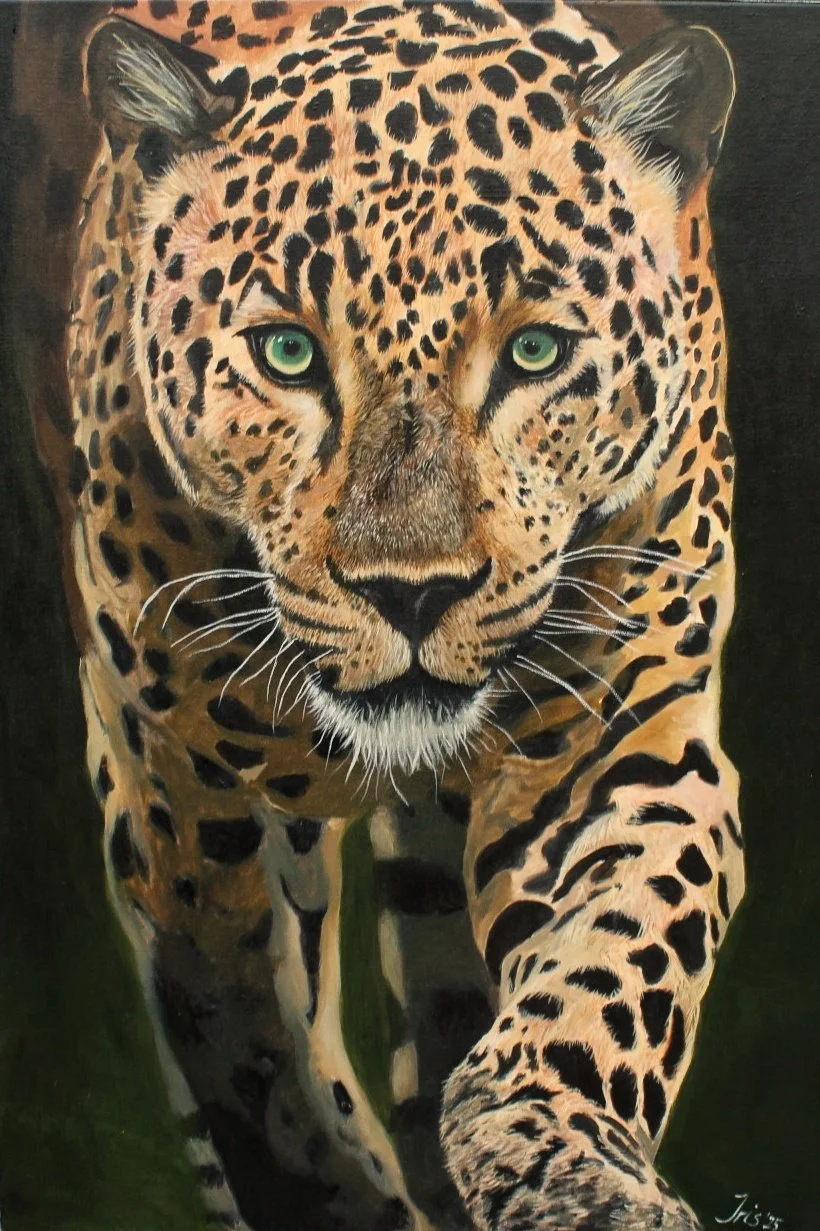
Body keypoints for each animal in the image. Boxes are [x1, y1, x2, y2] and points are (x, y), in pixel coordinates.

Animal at [56, 1, 743, 1228]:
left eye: (535, 350)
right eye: (285, 351)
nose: (412, 590)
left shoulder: (622, 737)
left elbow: (612, 956)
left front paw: (566, 1164)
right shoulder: (175, 792)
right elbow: (254, 1051)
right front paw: (332, 1188)